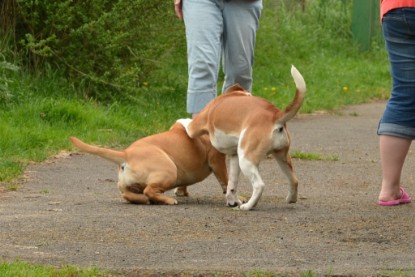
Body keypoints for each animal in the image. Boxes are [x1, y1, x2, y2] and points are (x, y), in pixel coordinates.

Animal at [70, 122, 229, 204]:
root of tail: (126, 153)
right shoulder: (217, 160)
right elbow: (226, 179)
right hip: (170, 170)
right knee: (150, 190)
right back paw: (167, 200)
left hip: (126, 185)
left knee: (128, 194)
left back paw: (143, 199)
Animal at [177, 66, 308, 210]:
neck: (235, 94)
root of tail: (275, 115)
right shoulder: (234, 157)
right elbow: (232, 184)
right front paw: (232, 201)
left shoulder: (194, 127)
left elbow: (186, 123)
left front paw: (180, 120)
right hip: (281, 157)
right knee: (294, 180)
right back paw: (291, 199)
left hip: (246, 160)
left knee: (259, 185)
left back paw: (248, 206)